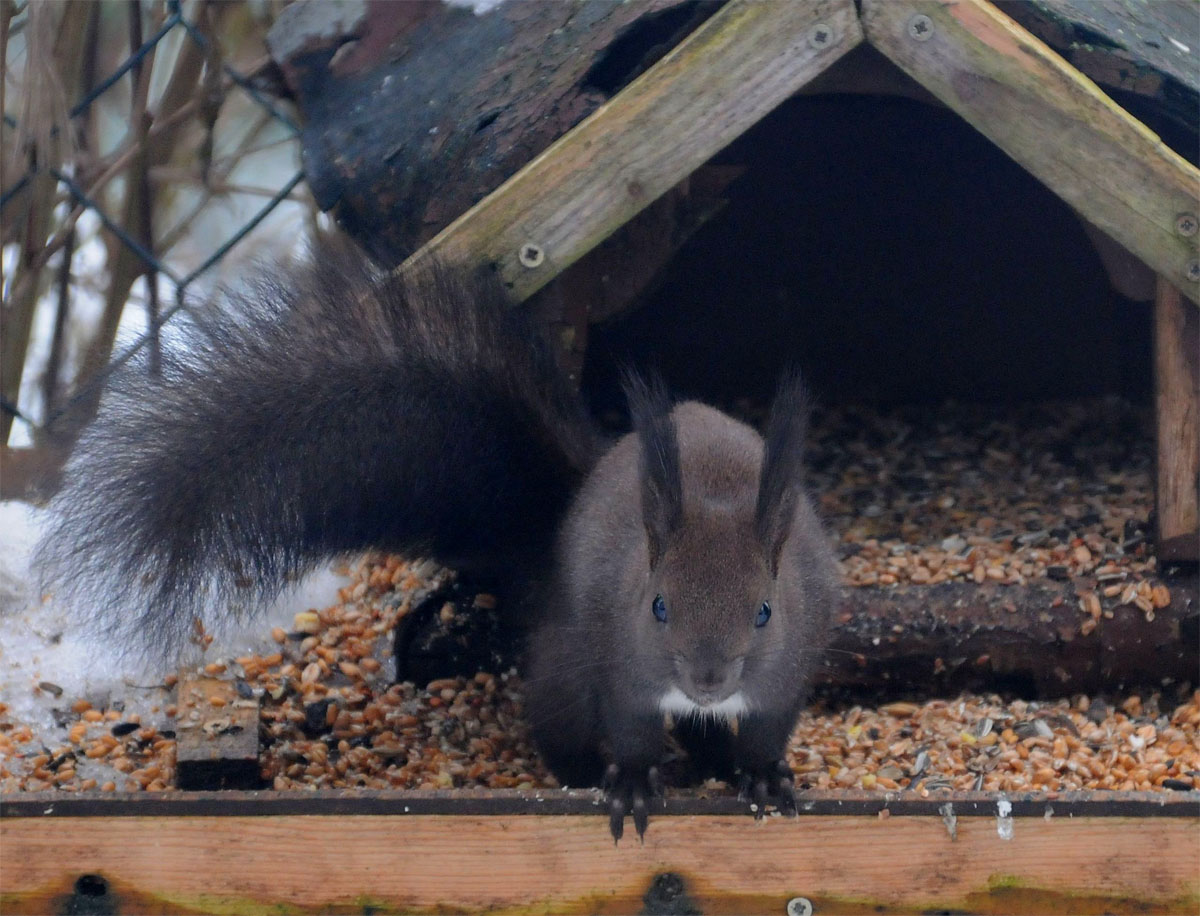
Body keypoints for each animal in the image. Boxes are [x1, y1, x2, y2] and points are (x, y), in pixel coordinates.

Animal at [37, 240, 835, 840]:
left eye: (765, 611)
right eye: (659, 605)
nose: (708, 678)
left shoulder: (785, 668)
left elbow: (770, 725)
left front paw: (763, 775)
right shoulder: (623, 660)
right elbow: (632, 726)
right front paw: (634, 782)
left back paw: (710, 762)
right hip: (568, 656)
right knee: (558, 718)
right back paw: (589, 770)